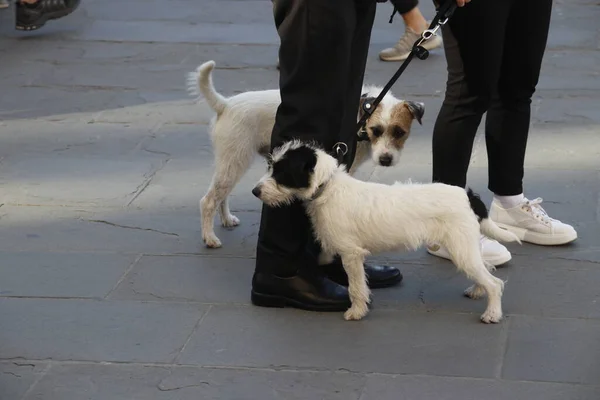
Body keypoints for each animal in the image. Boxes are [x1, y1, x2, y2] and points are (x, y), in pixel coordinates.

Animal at [185, 61, 424, 248]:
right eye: (376, 130)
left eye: (400, 132)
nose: (385, 159)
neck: (360, 120)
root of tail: (225, 104)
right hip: (234, 161)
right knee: (208, 200)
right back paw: (210, 238)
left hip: (230, 162)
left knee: (221, 195)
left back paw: (226, 219)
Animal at [250, 142, 520, 324]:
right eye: (271, 167)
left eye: (281, 173)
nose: (255, 191)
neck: (329, 187)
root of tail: (467, 195)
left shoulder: (351, 254)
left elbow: (356, 286)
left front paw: (357, 311)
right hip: (465, 248)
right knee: (486, 269)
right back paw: (477, 290)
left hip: (461, 248)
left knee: (495, 282)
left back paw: (492, 313)